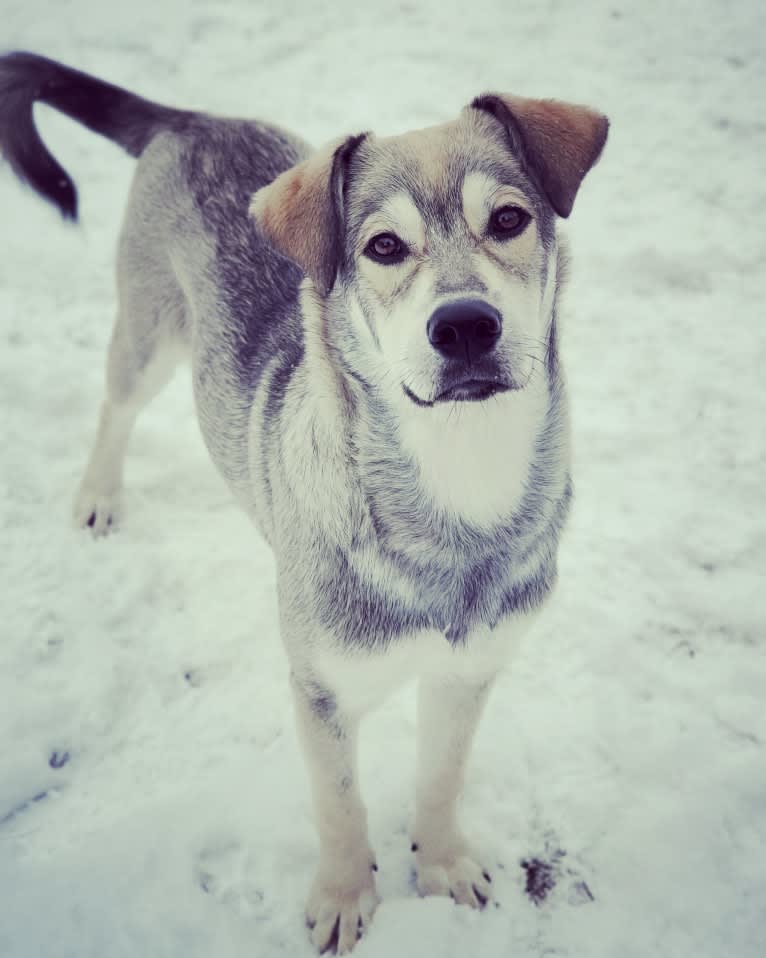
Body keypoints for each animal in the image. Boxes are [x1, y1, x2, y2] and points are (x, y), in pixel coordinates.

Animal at [1, 50, 612, 952]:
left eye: (508, 219)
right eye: (383, 246)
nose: (465, 325)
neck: (456, 483)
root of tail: (191, 119)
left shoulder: (470, 669)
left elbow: (441, 777)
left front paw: (442, 866)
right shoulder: (320, 688)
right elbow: (340, 806)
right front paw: (345, 899)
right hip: (149, 327)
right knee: (116, 404)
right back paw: (98, 497)